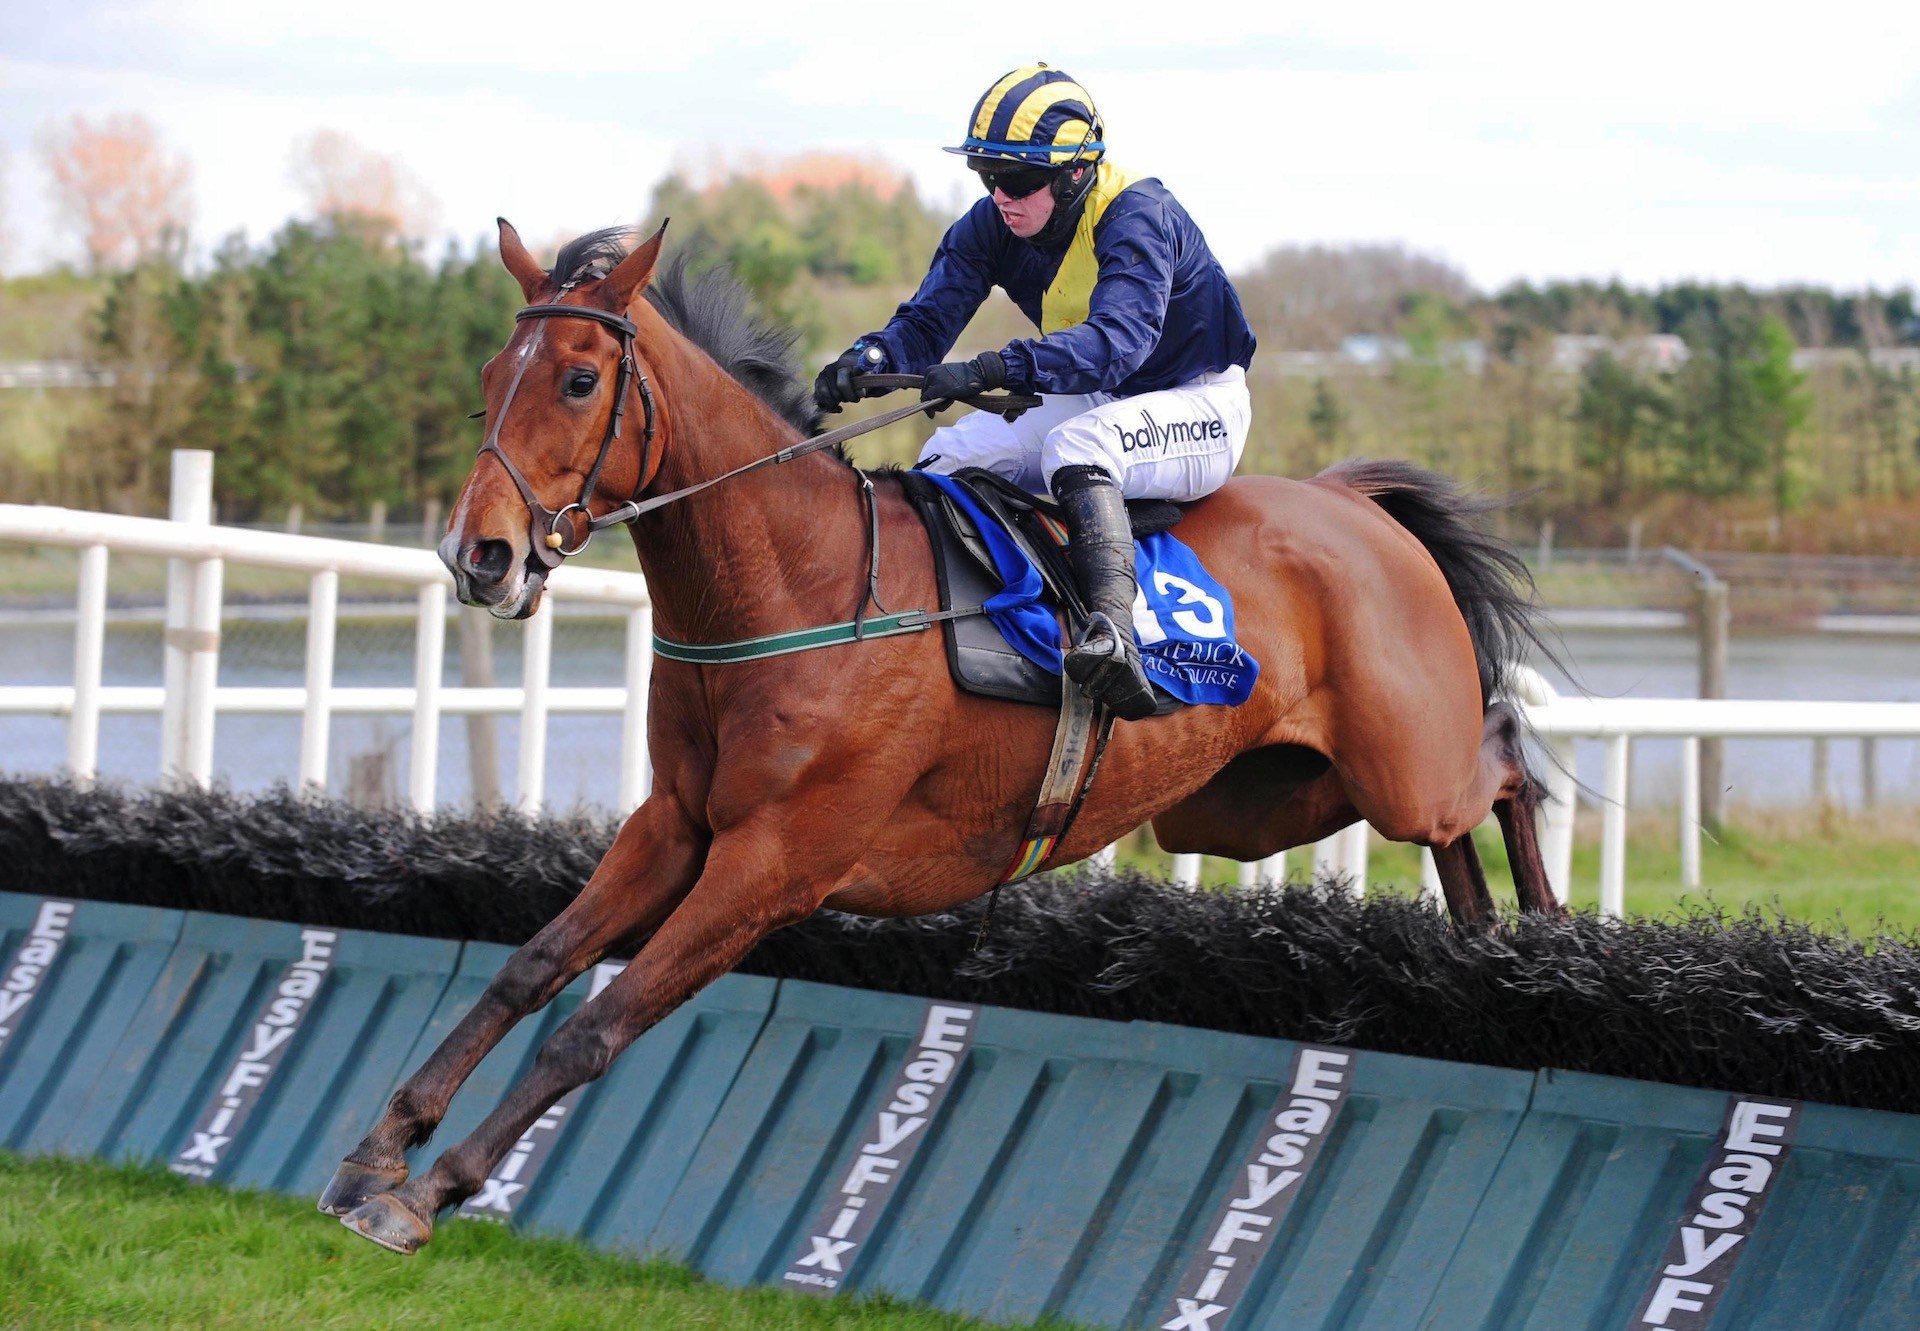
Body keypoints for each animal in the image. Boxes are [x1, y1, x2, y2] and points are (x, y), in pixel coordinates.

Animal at [326, 220, 1559, 1259]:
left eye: (580, 379)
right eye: (494, 379)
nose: (478, 555)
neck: (800, 586)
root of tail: (1351, 500)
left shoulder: (775, 864)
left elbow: (595, 1027)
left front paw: (435, 1187)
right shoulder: (675, 824)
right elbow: (529, 966)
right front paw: (378, 1153)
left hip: (1396, 768)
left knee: (1499, 755)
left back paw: (1540, 940)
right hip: (1256, 802)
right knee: (1450, 816)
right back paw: (1479, 945)